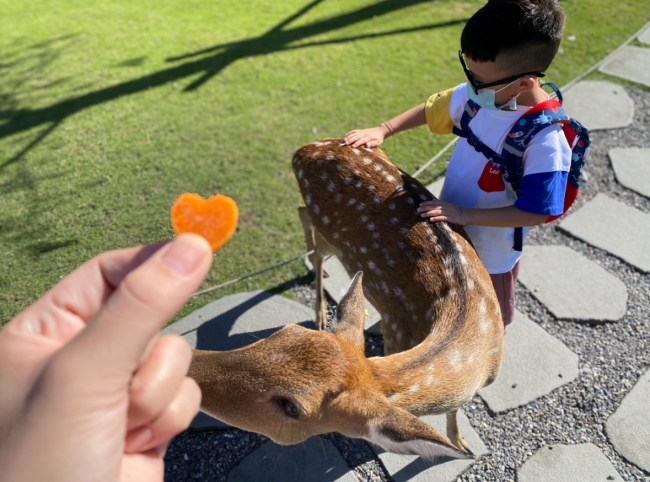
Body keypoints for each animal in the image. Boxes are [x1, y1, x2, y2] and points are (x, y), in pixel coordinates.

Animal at [188, 139, 503, 460]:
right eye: (283, 331)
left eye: (292, 408)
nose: (189, 368)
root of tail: (303, 151)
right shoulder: (394, 333)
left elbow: (455, 412)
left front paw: (461, 443)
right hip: (331, 234)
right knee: (313, 241)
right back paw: (317, 304)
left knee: (302, 213)